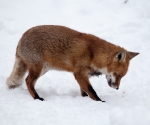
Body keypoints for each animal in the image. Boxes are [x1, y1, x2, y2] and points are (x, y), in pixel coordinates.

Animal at [6, 25, 139, 101]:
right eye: (118, 75)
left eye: (122, 76)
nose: (117, 88)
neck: (94, 54)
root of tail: (22, 36)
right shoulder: (79, 73)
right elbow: (92, 91)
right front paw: (100, 102)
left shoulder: (85, 75)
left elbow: (84, 91)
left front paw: (85, 100)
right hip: (38, 69)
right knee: (28, 81)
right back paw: (37, 98)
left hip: (43, 69)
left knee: (26, 80)